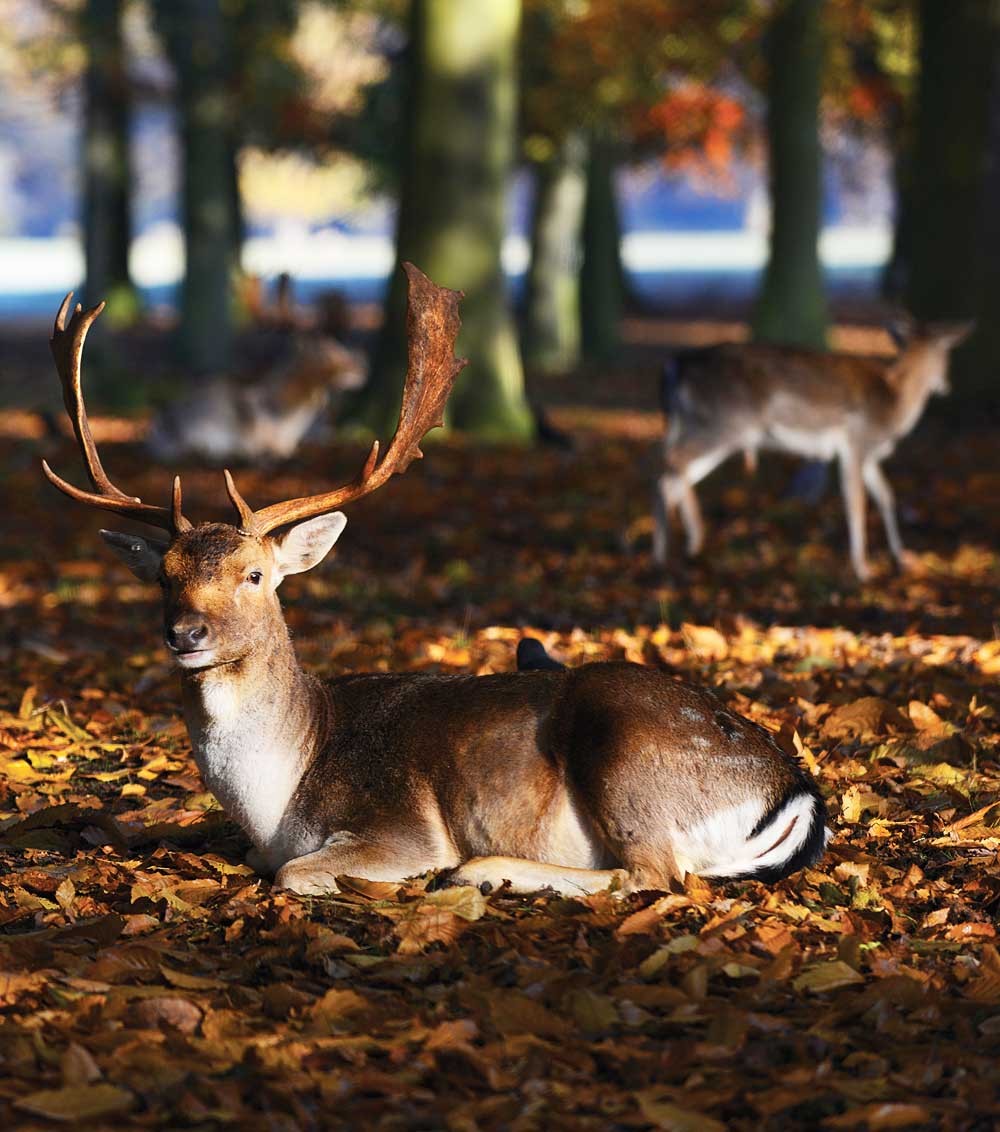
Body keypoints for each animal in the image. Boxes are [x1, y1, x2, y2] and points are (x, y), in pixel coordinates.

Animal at [43, 260, 824, 896]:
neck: (278, 798)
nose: (186, 633)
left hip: (624, 748)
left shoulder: (397, 826)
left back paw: (480, 870)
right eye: (163, 575)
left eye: (255, 573)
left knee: (656, 873)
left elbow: (292, 872)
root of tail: (794, 792)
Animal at [652, 321, 973, 579]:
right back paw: (688, 542)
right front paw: (863, 570)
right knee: (673, 462)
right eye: (947, 356)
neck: (894, 404)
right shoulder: (855, 442)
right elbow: (855, 501)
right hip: (725, 424)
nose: (947, 386)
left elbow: (886, 495)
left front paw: (900, 561)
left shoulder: (870, 455)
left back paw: (670, 551)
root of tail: (673, 367)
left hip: (697, 424)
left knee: (670, 472)